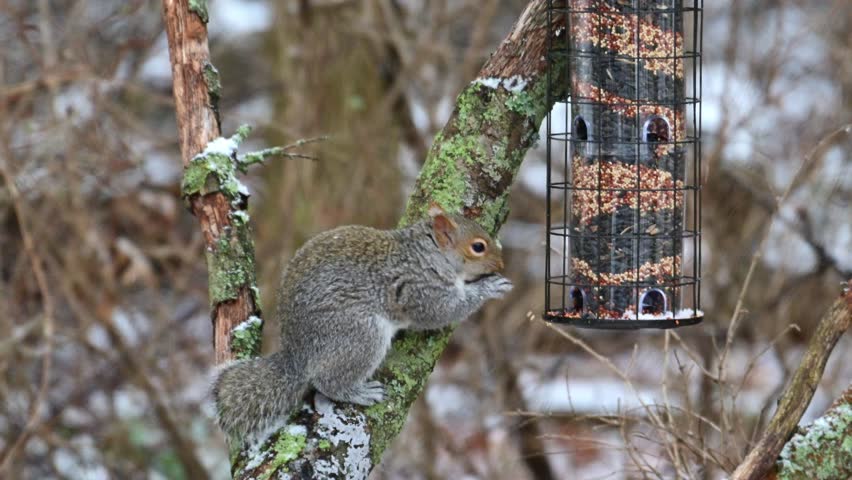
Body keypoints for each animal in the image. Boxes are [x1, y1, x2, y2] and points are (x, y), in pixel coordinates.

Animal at [213, 205, 513, 440]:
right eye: (478, 247)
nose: (501, 265)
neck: (425, 254)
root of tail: (296, 355)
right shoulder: (420, 290)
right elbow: (444, 311)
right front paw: (489, 288)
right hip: (359, 335)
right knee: (328, 381)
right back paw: (360, 392)